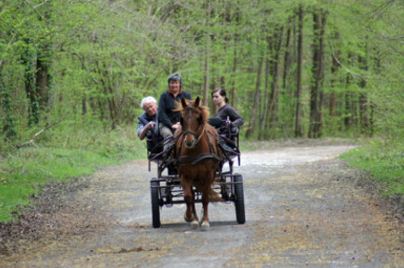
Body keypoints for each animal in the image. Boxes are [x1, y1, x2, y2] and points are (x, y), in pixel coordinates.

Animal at [174, 97, 223, 229]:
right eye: (182, 119)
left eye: (198, 118)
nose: (189, 141)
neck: (195, 152)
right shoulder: (185, 176)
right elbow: (188, 197)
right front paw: (190, 217)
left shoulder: (208, 176)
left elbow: (205, 198)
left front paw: (205, 220)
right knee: (192, 196)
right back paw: (195, 218)